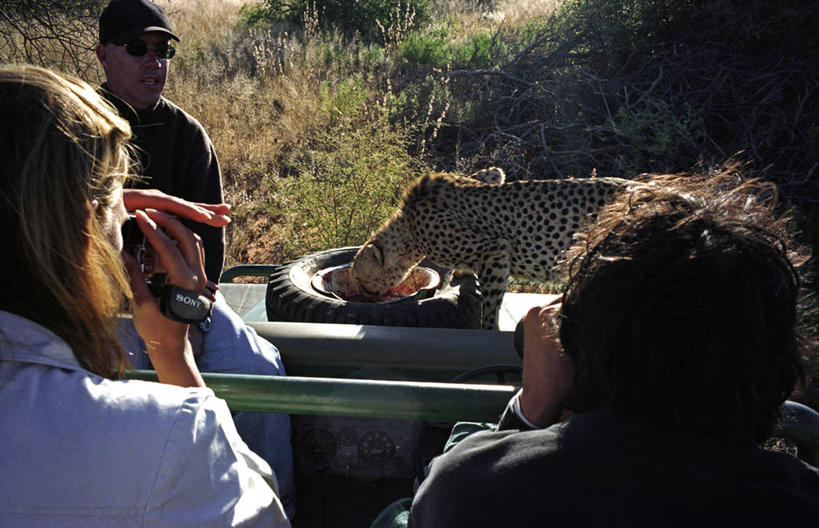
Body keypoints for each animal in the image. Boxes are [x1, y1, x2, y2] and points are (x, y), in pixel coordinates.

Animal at [350, 169, 632, 328]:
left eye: (362, 281)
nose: (365, 296)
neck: (408, 227)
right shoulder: (489, 175)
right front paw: (462, 273)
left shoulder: (494, 249)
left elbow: (491, 305)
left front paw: (488, 330)